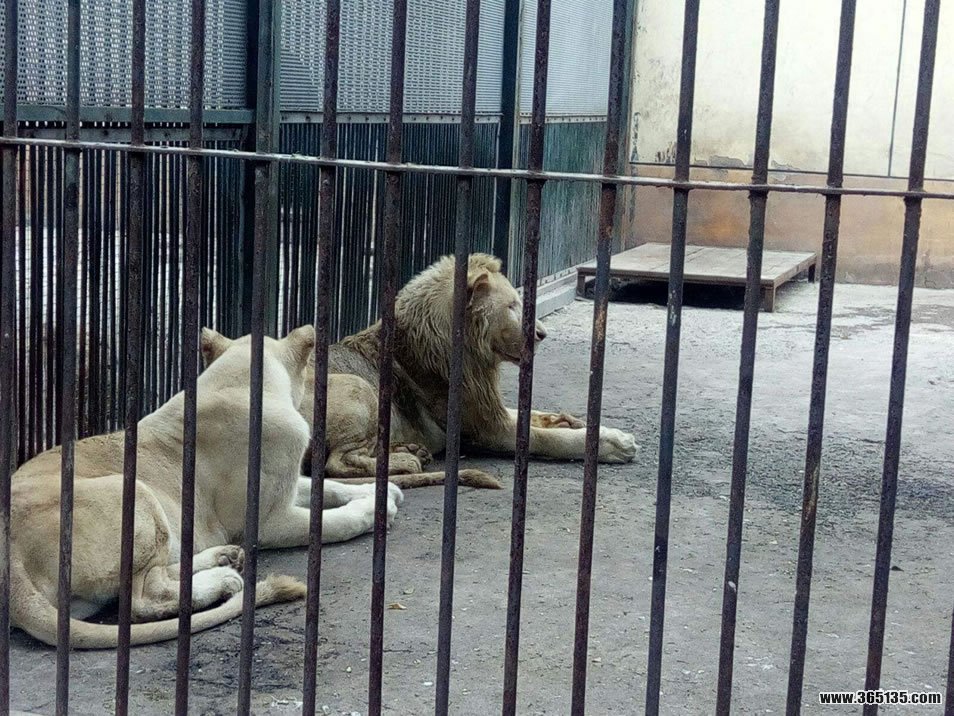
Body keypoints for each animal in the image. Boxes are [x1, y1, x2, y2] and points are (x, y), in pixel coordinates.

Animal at [9, 325, 403, 649]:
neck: (236, 381)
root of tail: (9, 559)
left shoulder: (287, 487)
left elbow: (326, 485)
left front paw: (383, 492)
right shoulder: (267, 522)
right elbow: (335, 522)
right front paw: (374, 510)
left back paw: (223, 558)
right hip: (133, 491)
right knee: (142, 600)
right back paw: (224, 579)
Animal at [201, 254, 637, 490]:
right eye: (513, 306)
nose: (543, 334)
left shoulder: (488, 406)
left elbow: (536, 415)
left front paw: (575, 421)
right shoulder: (484, 429)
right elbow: (545, 439)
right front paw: (611, 444)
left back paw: (409, 451)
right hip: (359, 388)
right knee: (334, 463)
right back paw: (408, 461)